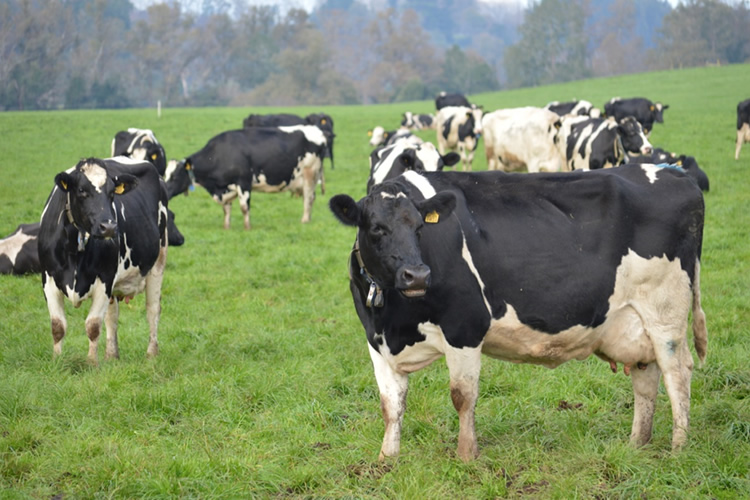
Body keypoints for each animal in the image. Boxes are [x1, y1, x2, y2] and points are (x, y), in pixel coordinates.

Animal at [38, 157, 169, 364]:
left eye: (112, 192)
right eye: (81, 190)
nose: (108, 227)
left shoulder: (105, 279)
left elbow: (93, 325)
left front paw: (92, 363)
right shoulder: (48, 279)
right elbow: (58, 326)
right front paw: (56, 361)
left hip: (158, 263)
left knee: (153, 309)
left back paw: (151, 354)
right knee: (112, 316)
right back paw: (111, 355)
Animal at [164, 125, 326, 229]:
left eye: (174, 177)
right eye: (165, 175)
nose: (165, 192)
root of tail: (317, 131)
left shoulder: (244, 183)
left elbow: (244, 207)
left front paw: (247, 227)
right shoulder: (226, 188)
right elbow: (226, 209)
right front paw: (226, 227)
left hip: (309, 174)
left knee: (308, 198)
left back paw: (304, 220)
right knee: (311, 198)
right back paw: (308, 219)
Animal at [330, 167, 712, 460]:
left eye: (420, 228)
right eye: (376, 228)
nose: (418, 275)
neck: (395, 321)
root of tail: (677, 174)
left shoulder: (465, 327)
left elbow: (462, 396)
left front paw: (466, 456)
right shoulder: (376, 341)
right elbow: (390, 405)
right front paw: (387, 459)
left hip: (665, 311)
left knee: (677, 372)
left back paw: (678, 449)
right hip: (635, 322)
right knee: (646, 377)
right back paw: (636, 445)